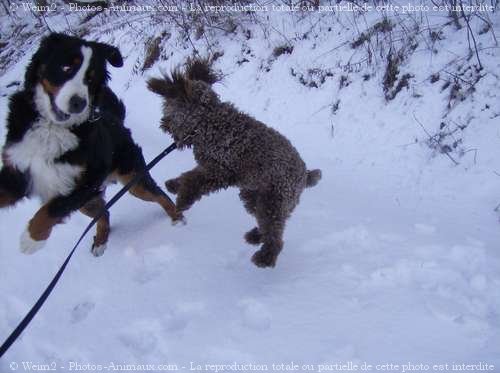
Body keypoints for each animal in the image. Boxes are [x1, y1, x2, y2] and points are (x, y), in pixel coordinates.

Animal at [0, 33, 184, 256]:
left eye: (90, 79)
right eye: (66, 67)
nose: (78, 103)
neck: (52, 127)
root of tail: (116, 120)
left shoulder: (85, 182)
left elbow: (53, 209)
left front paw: (31, 238)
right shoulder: (16, 172)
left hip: (132, 179)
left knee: (160, 195)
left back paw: (178, 218)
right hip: (89, 201)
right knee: (104, 212)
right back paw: (100, 242)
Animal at [146, 58, 322, 266]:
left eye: (167, 107)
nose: (163, 124)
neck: (207, 121)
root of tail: (305, 174)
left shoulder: (219, 172)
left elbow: (193, 181)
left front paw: (182, 200)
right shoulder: (209, 166)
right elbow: (189, 175)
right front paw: (173, 185)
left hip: (272, 200)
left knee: (275, 234)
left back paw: (265, 257)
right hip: (255, 196)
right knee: (270, 225)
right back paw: (255, 236)